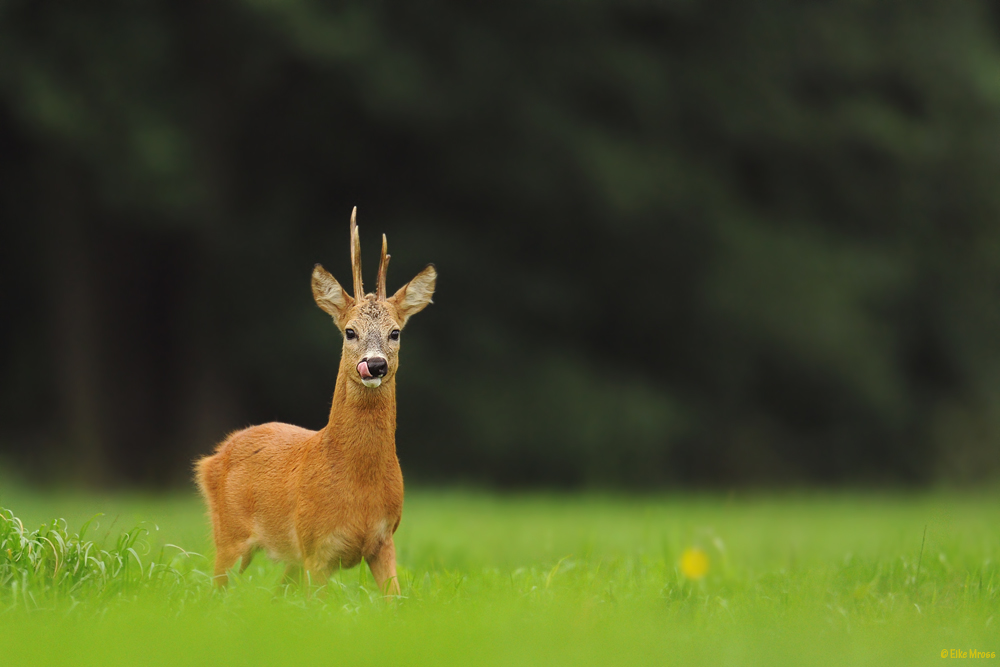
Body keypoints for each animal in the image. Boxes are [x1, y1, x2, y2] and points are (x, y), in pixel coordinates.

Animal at [193, 209, 436, 596]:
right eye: (350, 331)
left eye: (395, 332)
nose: (375, 364)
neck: (358, 487)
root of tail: (216, 454)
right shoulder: (315, 548)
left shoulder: (385, 541)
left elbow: (396, 600)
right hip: (230, 535)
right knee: (213, 588)